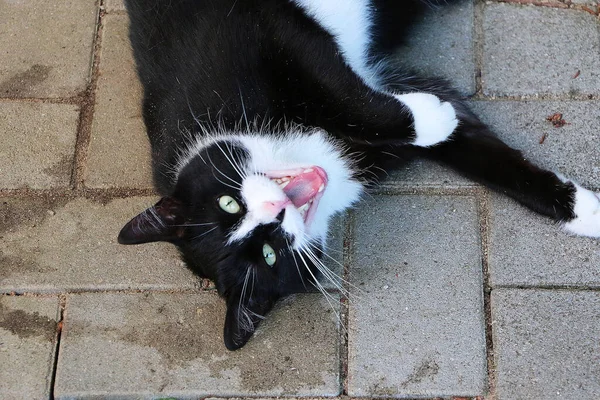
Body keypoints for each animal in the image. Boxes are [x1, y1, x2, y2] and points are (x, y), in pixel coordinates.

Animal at [118, 0, 600, 350]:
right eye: (270, 256)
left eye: (228, 202)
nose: (275, 213)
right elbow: (480, 153)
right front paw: (583, 210)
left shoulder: (266, 32)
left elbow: (351, 103)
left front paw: (432, 116)